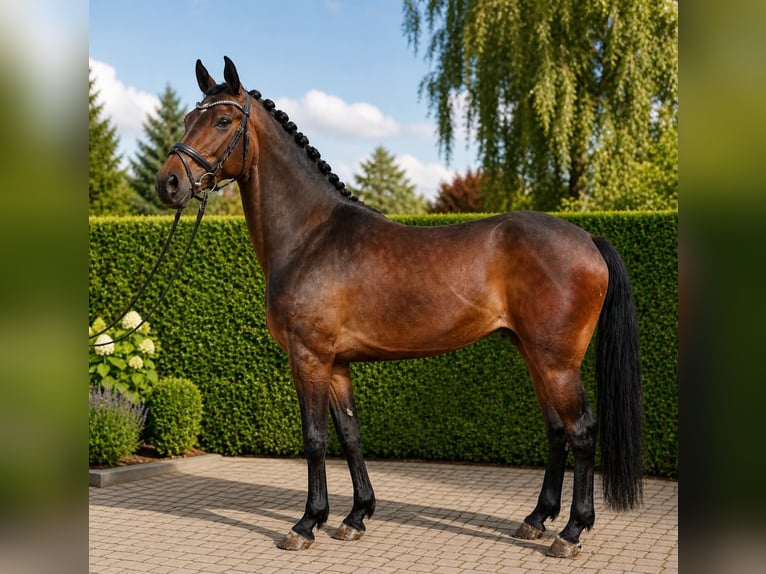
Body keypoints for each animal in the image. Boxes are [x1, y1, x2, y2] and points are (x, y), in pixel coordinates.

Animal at [156, 57, 643, 558]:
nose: (168, 183)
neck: (311, 235)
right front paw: (355, 516)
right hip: (534, 355)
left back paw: (571, 532)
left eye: (222, 120)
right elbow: (350, 436)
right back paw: (536, 520)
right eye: (189, 118)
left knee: (581, 429)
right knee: (556, 430)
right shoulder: (336, 364)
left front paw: (307, 524)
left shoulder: (309, 357)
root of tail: (588, 239)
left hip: (557, 362)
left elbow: (314, 439)